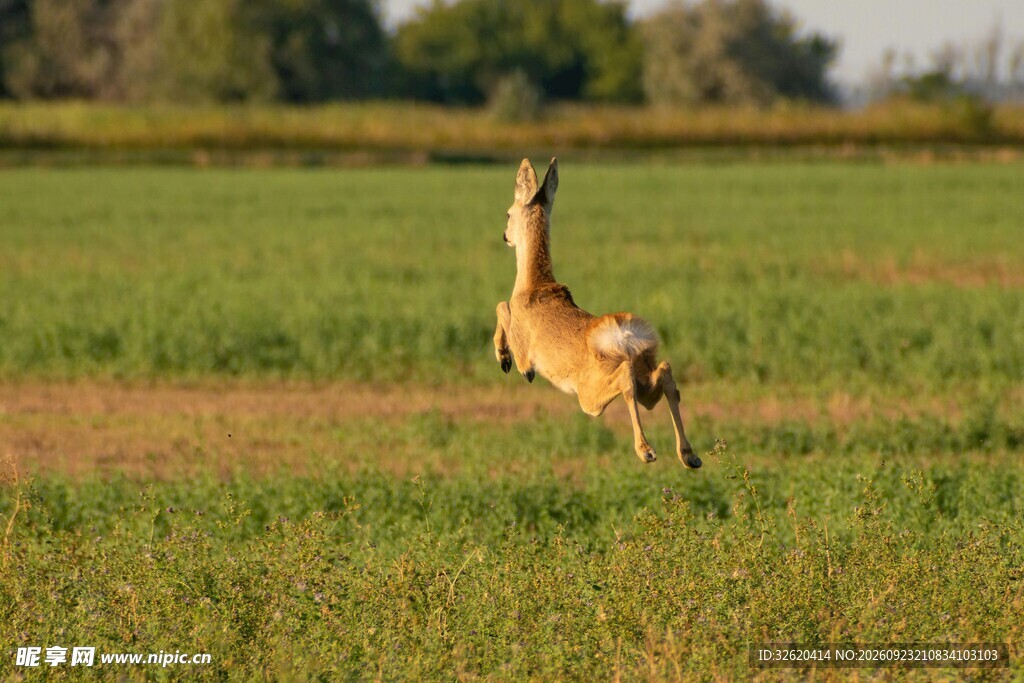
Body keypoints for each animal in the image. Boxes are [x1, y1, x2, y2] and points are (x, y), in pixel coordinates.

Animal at [493, 157, 701, 469]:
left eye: (508, 213)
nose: (505, 236)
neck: (533, 283)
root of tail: (624, 336)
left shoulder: (524, 352)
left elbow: (502, 306)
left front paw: (503, 357)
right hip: (645, 385)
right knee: (664, 375)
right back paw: (689, 456)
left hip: (588, 395)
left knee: (625, 379)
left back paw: (647, 451)